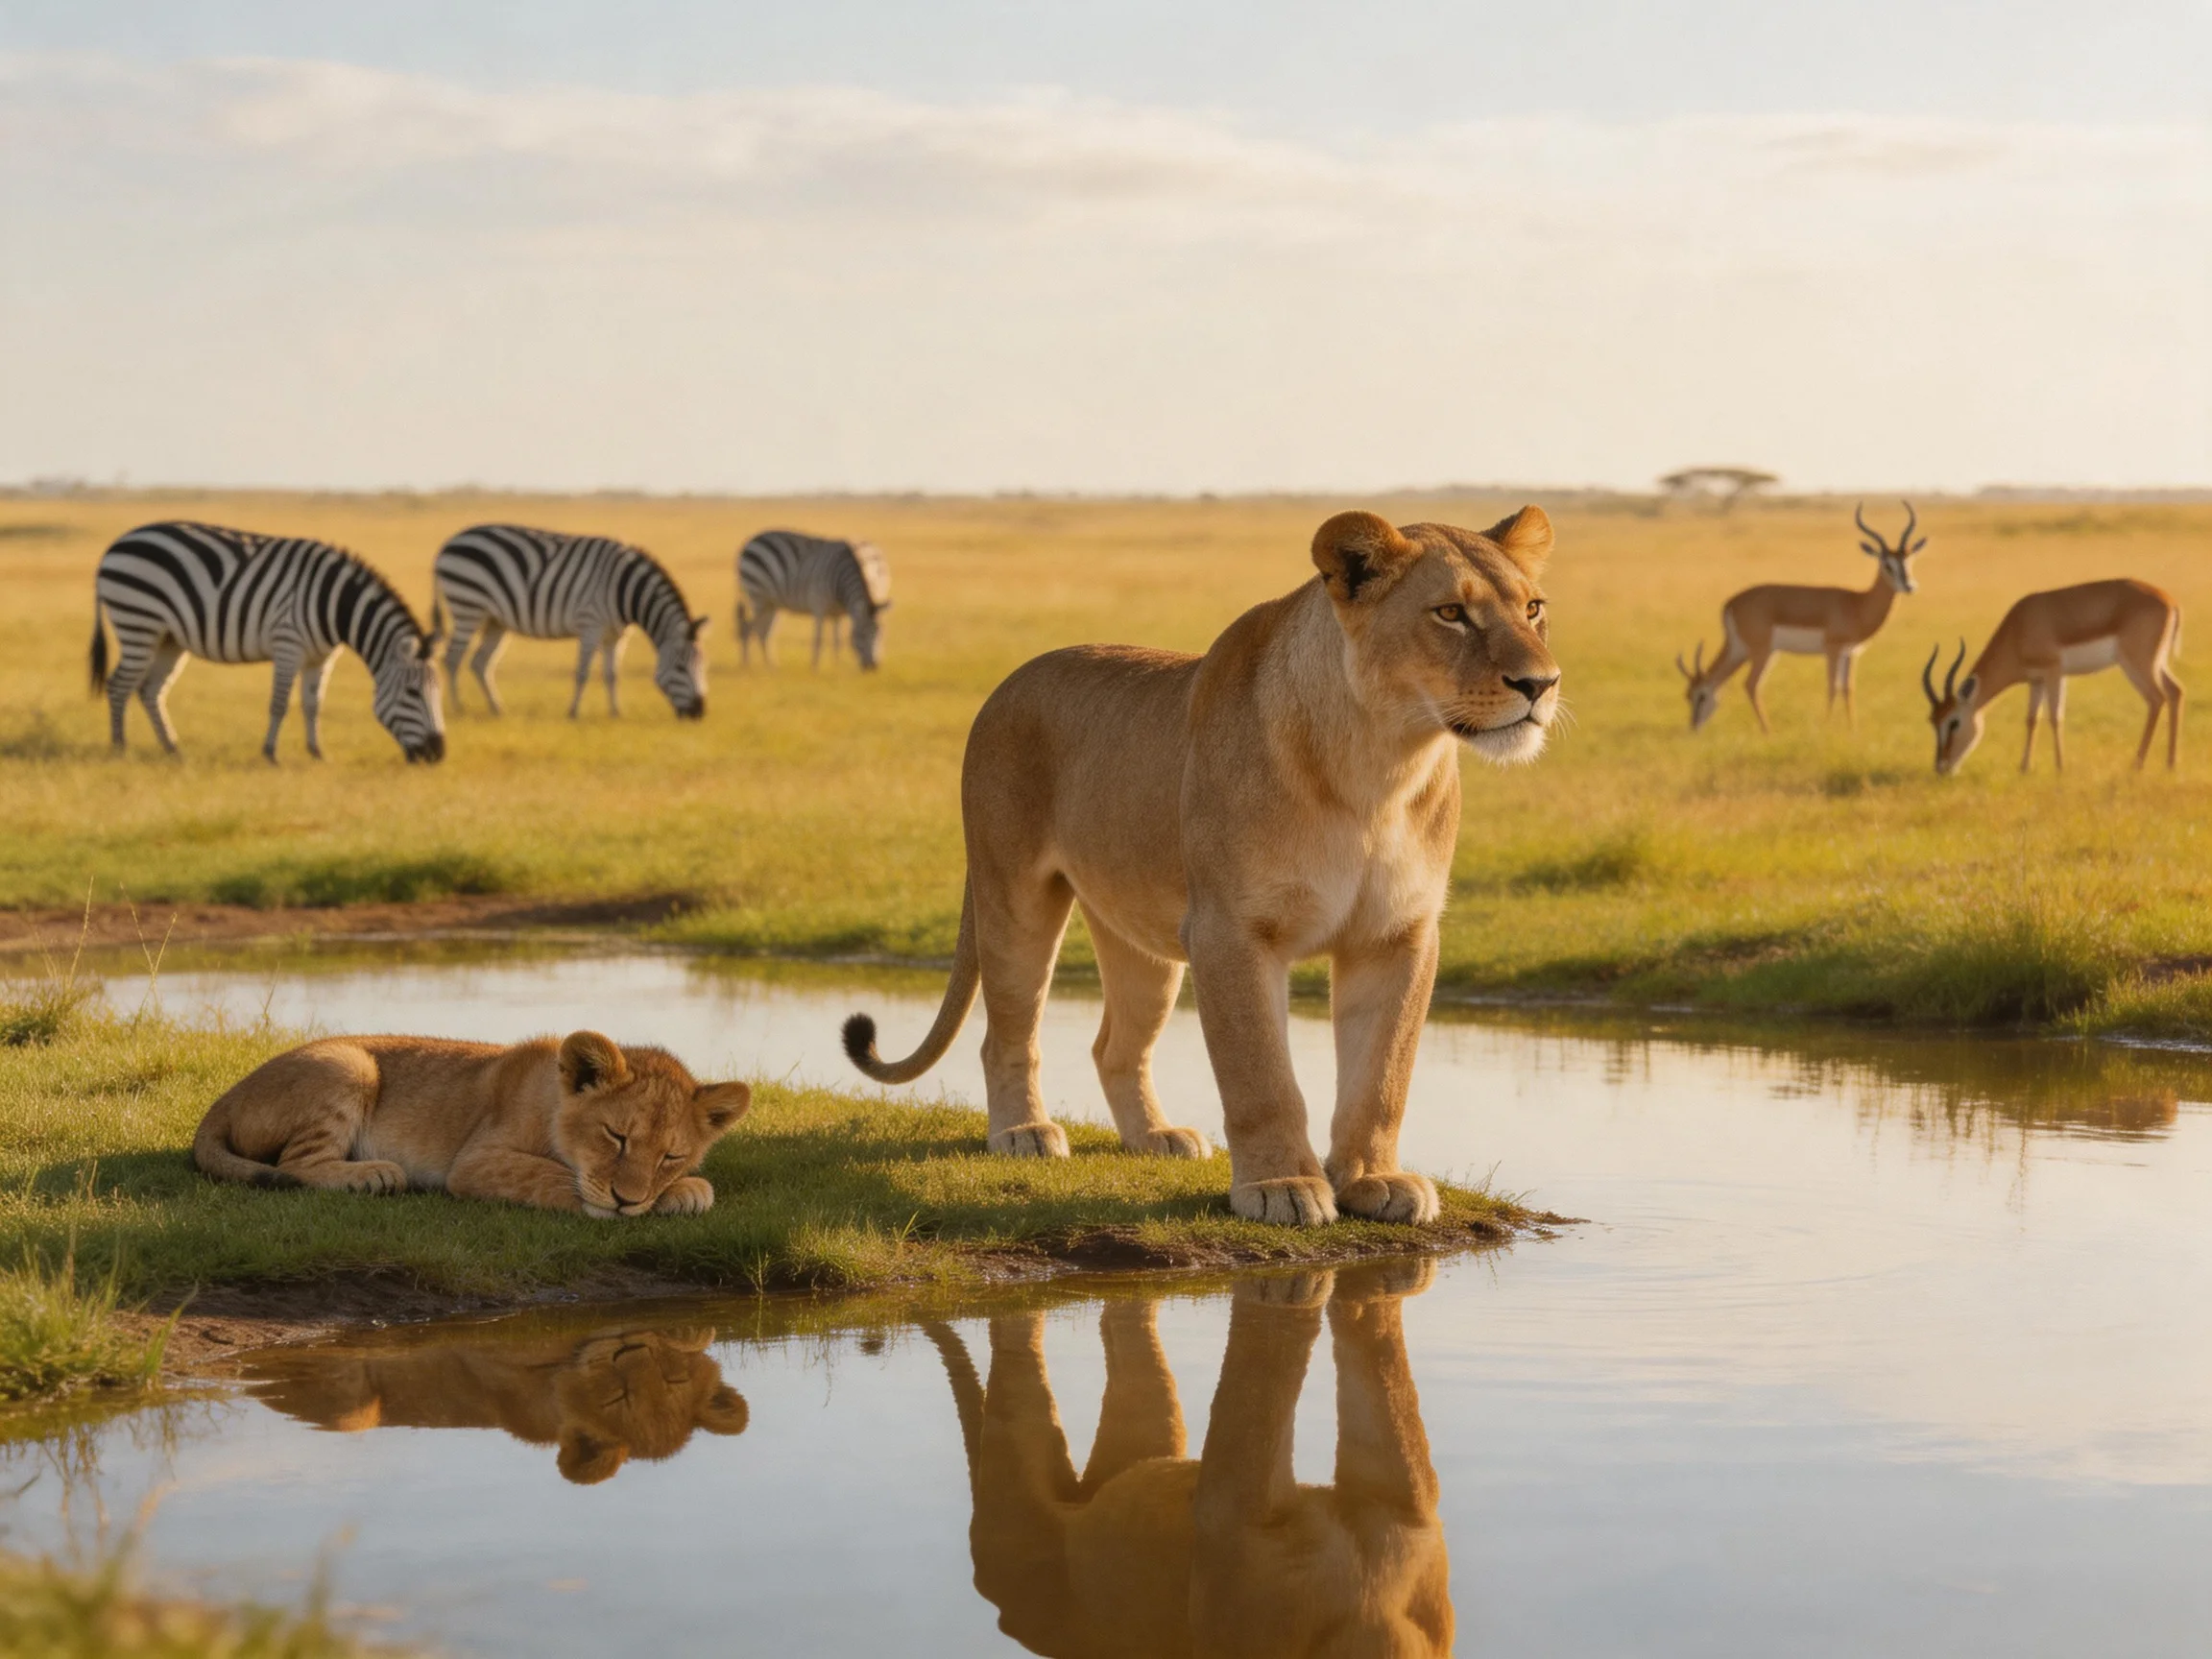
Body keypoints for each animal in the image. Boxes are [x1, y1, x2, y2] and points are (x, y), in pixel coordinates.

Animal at [192, 1031, 751, 1217]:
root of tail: (224, 1098)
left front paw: (685, 1192)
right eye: (616, 1137)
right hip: (350, 1063)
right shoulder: (476, 1161)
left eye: (670, 1156)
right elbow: (548, 1175)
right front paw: (601, 1203)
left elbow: (696, 1186)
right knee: (295, 1163)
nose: (627, 1201)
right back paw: (372, 1175)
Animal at [845, 507, 1559, 1225]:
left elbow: (1383, 1072)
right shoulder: (1230, 930)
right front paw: (1281, 1186)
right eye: (1450, 614)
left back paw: (1155, 1136)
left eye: (1533, 609)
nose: (1541, 685)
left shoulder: (1397, 935)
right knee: (1007, 1033)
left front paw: (1372, 1178)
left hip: (1139, 936)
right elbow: (1261, 1073)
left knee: (1115, 1046)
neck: (1379, 766)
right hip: (1014, 896)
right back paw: (1024, 1132)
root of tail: (1006, 684)